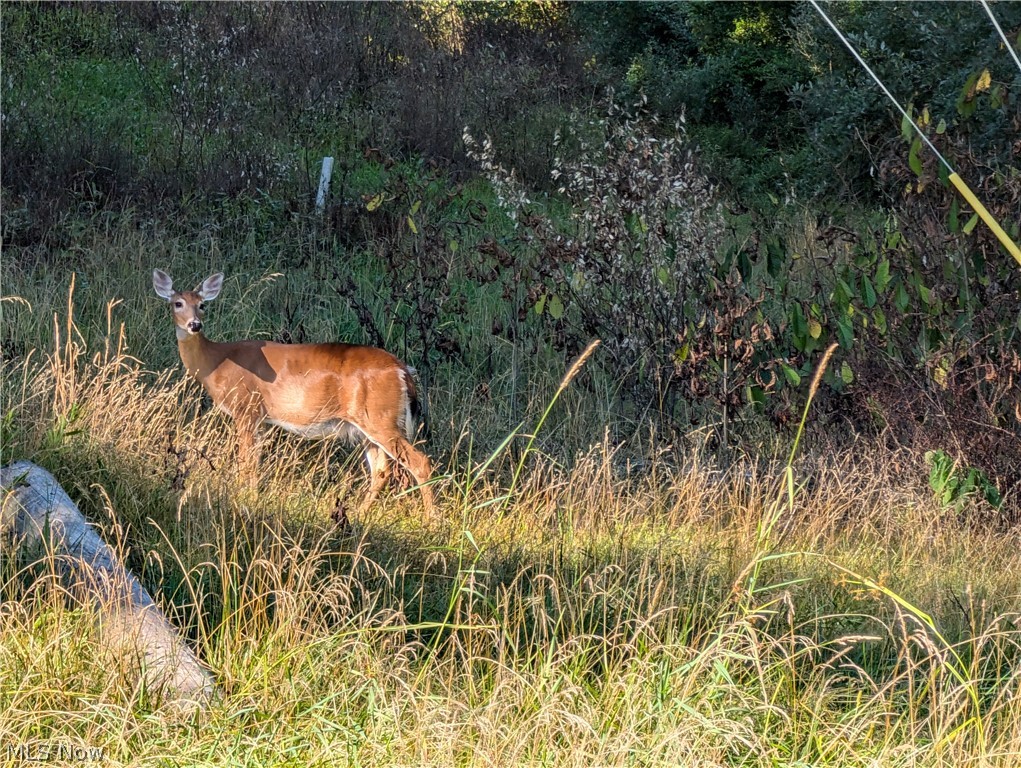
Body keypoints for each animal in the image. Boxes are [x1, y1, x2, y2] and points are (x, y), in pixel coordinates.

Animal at [153, 267, 432, 512]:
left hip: (380, 416)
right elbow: (254, 462)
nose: (194, 325)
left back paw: (431, 519)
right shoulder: (261, 418)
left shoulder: (246, 408)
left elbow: (246, 462)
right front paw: (251, 496)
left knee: (420, 462)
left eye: (203, 305)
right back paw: (361, 513)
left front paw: (242, 497)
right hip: (367, 425)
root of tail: (402, 370)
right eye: (177, 303)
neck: (216, 362)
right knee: (381, 470)